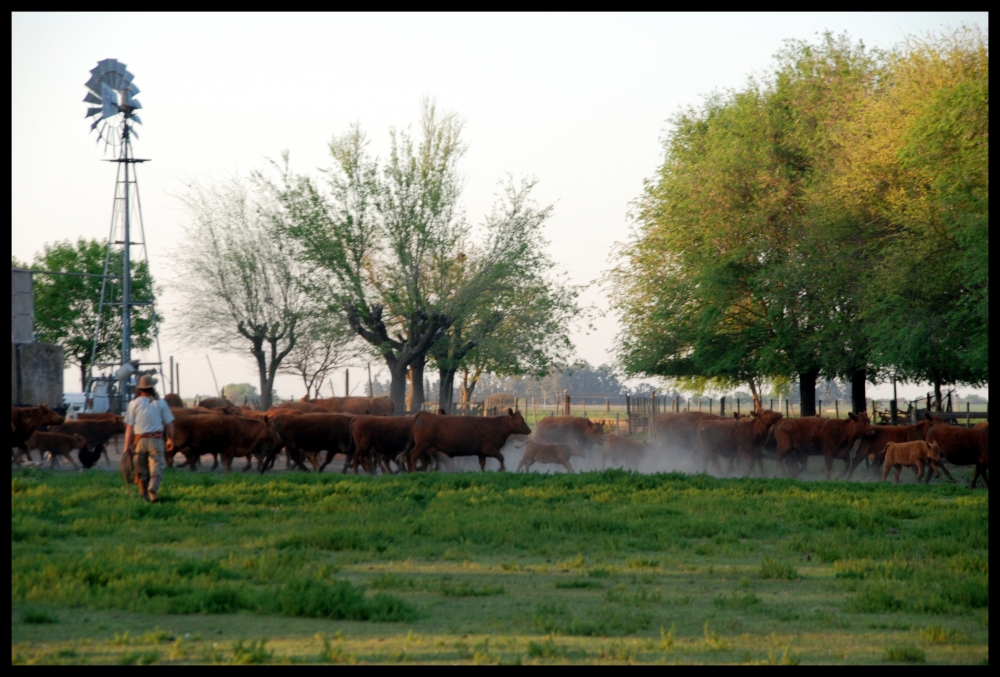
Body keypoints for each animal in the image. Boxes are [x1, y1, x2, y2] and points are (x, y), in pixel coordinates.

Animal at [404, 406, 536, 470]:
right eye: (519, 420)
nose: (529, 430)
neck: (495, 426)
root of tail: (424, 414)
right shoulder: (489, 449)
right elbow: (501, 457)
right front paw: (501, 469)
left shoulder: (481, 453)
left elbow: (482, 465)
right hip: (422, 445)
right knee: (413, 455)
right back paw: (414, 471)